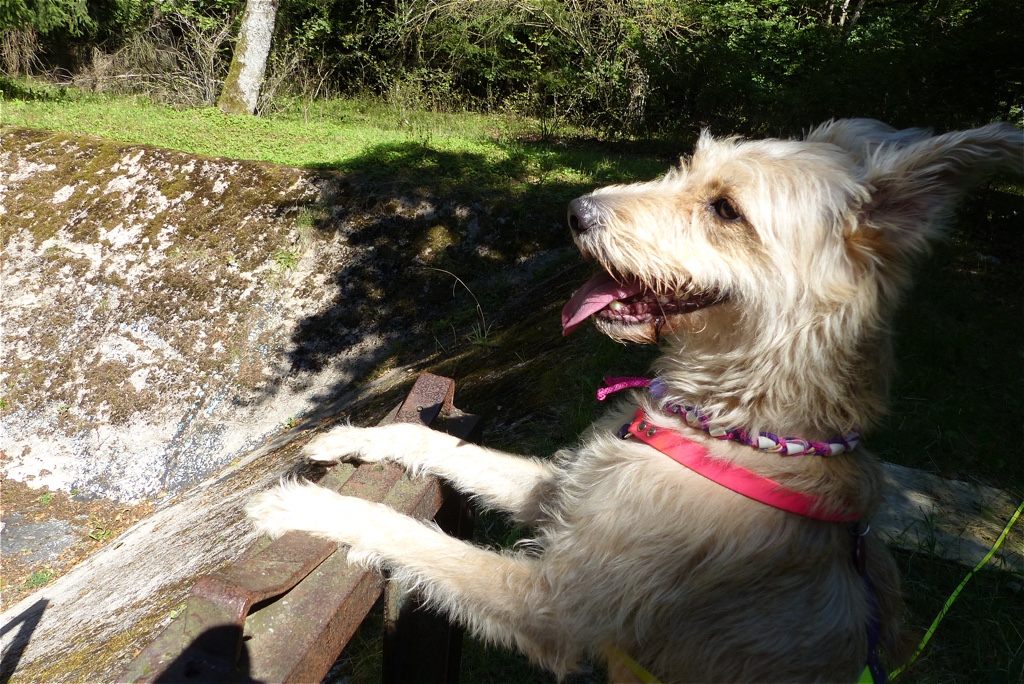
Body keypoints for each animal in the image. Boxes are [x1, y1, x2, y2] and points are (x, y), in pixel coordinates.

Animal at [249, 120, 1022, 682]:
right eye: (687, 168)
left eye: (726, 210)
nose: (575, 210)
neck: (729, 424)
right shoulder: (563, 493)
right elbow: (441, 442)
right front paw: (346, 439)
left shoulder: (553, 607)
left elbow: (411, 535)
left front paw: (304, 507)